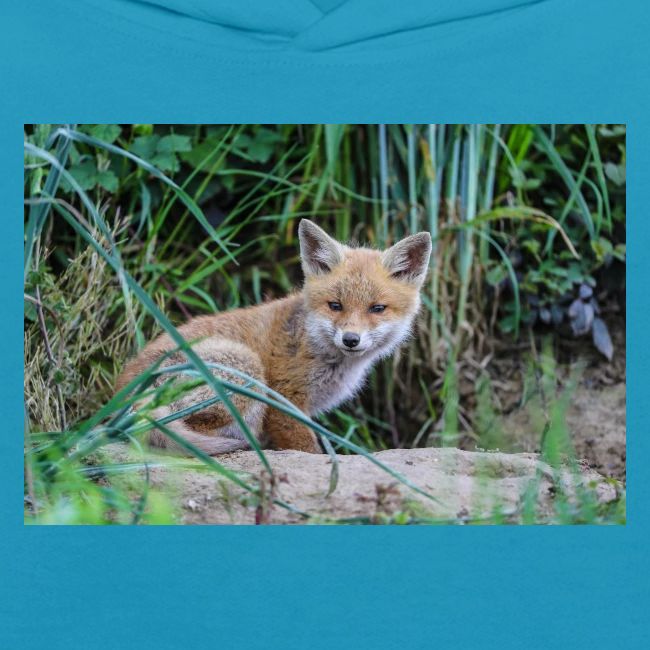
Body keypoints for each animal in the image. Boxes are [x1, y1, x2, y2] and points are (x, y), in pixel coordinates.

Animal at [116, 219, 432, 455]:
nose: (351, 339)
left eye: (377, 309)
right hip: (246, 369)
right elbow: (307, 449)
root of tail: (124, 394)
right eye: (335, 305)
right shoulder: (284, 400)